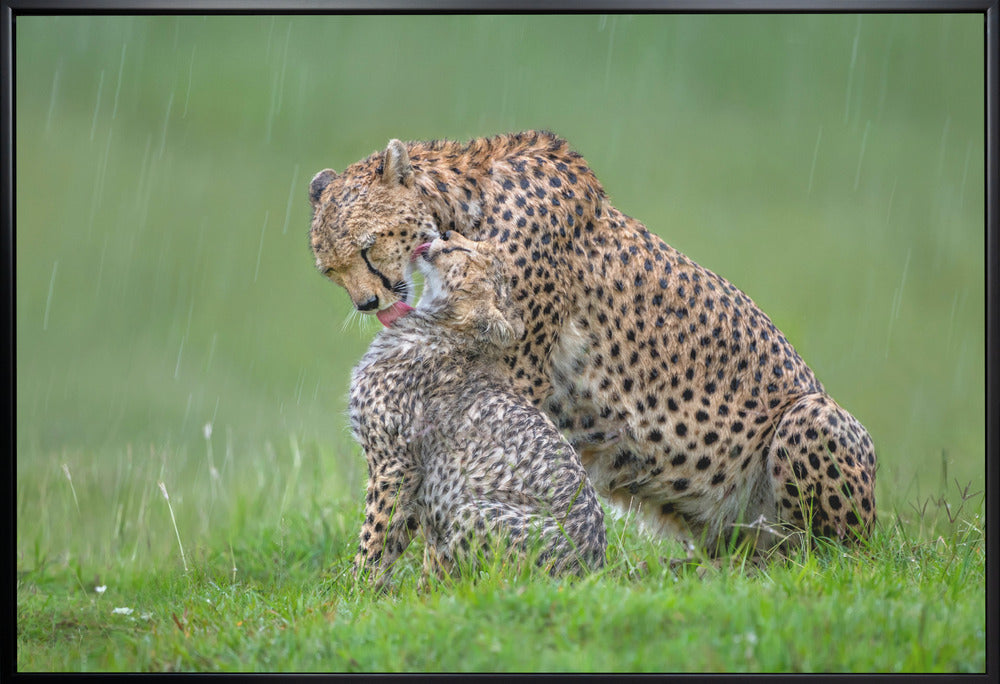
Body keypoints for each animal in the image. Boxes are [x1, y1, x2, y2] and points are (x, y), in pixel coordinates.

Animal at [348, 229, 607, 586]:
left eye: (465, 251)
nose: (445, 233)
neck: (439, 326)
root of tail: (592, 568)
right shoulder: (414, 479)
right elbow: (398, 536)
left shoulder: (396, 464)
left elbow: (376, 535)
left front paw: (355, 590)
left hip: (471, 510)